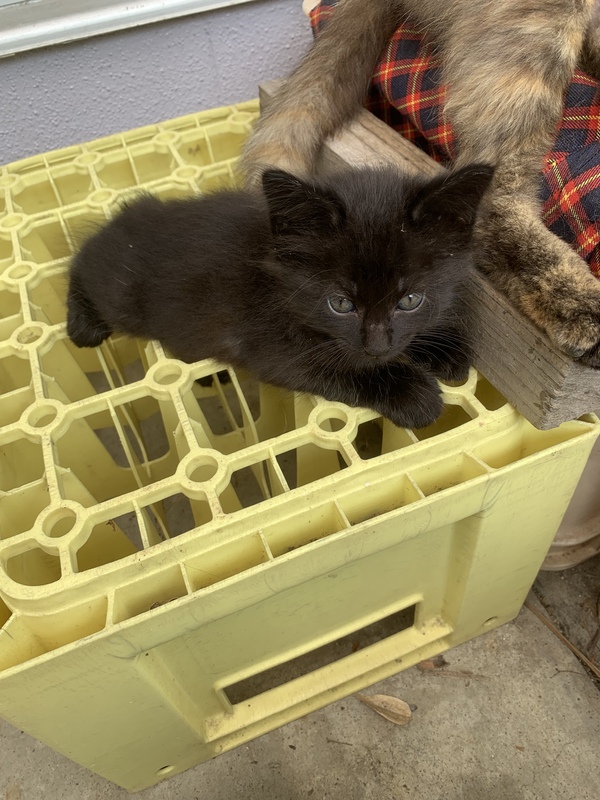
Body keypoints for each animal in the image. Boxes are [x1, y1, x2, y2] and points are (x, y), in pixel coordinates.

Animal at [66, 163, 493, 429]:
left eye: (410, 301)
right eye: (341, 304)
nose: (377, 347)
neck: (279, 277)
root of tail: (128, 215)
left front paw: (444, 349)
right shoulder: (270, 344)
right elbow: (331, 366)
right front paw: (412, 393)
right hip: (119, 290)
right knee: (81, 261)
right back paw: (82, 325)